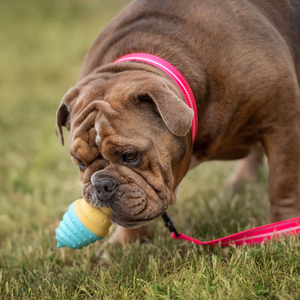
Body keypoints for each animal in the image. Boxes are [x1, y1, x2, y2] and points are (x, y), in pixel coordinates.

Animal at [56, 0, 300, 246]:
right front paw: (125, 242)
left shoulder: (283, 124)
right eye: (80, 162)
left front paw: (282, 230)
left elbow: (283, 185)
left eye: (131, 156)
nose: (101, 183)